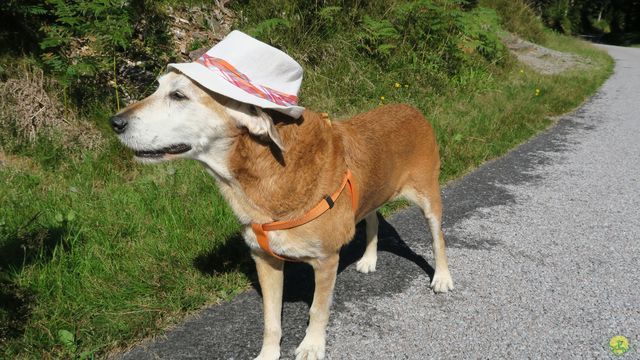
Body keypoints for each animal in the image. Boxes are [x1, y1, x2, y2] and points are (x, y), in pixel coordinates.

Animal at [112, 69, 456, 358]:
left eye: (179, 95)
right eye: (157, 87)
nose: (115, 122)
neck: (260, 170)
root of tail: (411, 108)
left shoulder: (325, 261)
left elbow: (318, 310)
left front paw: (312, 345)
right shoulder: (264, 260)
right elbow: (270, 320)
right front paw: (268, 353)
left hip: (428, 196)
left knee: (438, 237)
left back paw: (441, 277)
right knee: (371, 217)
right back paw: (370, 258)